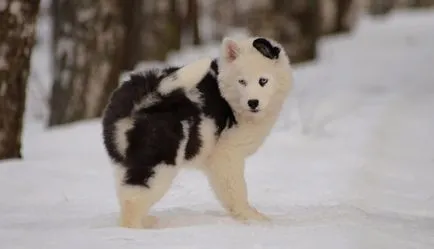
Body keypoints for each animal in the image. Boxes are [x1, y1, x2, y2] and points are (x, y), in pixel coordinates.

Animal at [101, 36, 294, 229]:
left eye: (263, 81)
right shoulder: (227, 156)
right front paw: (251, 217)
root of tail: (145, 96)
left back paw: (147, 221)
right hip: (159, 159)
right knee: (134, 199)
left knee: (126, 192)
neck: (229, 98)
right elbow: (235, 189)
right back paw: (137, 228)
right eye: (242, 82)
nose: (253, 102)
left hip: (124, 159)